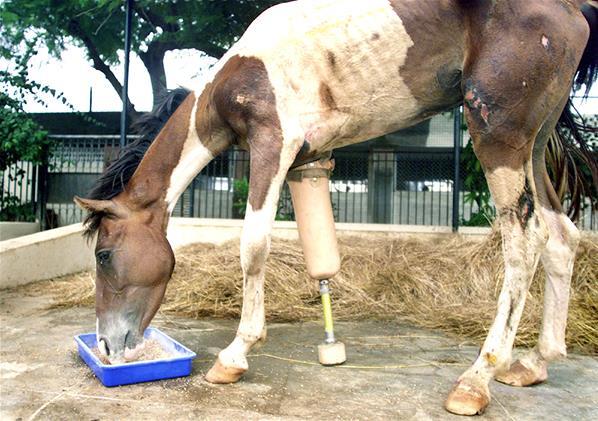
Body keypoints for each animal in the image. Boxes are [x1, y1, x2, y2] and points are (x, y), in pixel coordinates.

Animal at [77, 0, 596, 414]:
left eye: (103, 255)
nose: (105, 345)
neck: (242, 71)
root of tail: (572, 10)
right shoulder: (307, 162)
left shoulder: (273, 144)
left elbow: (253, 246)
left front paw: (235, 355)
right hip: (534, 144)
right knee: (561, 237)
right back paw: (534, 363)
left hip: (499, 135)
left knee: (524, 241)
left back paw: (477, 378)